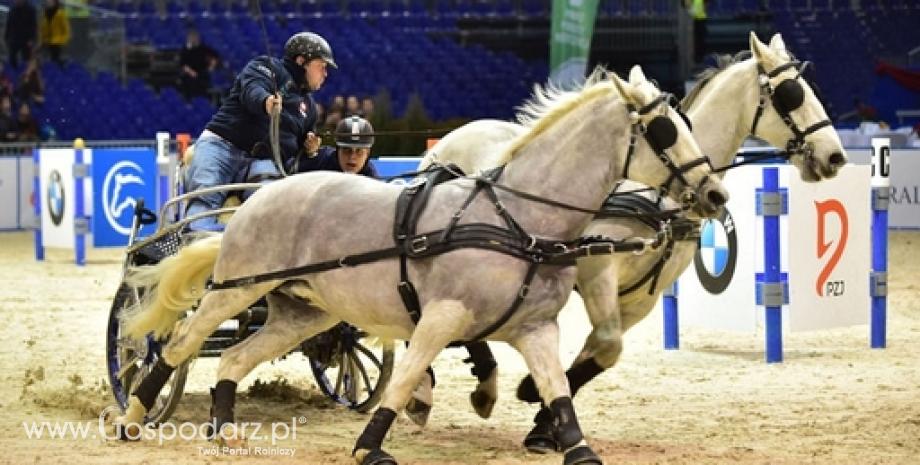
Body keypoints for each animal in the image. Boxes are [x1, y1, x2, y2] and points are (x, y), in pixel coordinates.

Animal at [410, 30, 848, 452]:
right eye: (792, 94)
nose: (835, 157)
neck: (657, 194)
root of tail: (448, 139)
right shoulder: (596, 270)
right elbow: (605, 343)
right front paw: (535, 399)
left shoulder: (642, 298)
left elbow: (602, 351)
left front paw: (543, 421)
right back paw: (435, 389)